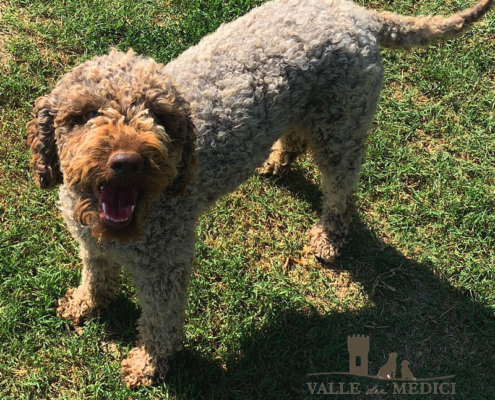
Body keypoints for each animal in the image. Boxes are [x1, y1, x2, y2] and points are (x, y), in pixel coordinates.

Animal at [27, 0, 492, 388]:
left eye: (158, 116)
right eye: (84, 114)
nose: (127, 161)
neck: (124, 223)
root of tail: (359, 13)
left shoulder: (164, 267)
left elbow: (161, 323)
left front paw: (149, 365)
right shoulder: (91, 245)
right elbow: (95, 277)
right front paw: (86, 304)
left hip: (341, 130)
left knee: (341, 192)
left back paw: (328, 236)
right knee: (296, 141)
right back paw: (277, 162)